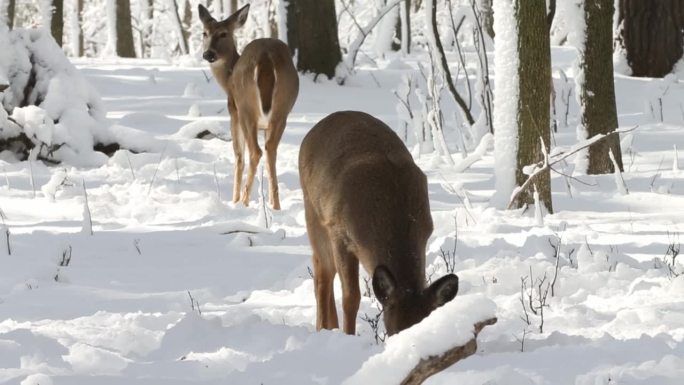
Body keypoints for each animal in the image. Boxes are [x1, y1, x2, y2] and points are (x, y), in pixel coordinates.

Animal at [195, 3, 296, 210]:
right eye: (204, 33)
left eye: (223, 34)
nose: (208, 54)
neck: (227, 79)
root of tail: (266, 57)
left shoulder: (232, 111)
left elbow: (238, 156)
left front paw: (234, 200)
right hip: (282, 110)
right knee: (271, 150)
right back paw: (276, 207)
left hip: (245, 108)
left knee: (255, 152)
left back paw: (243, 201)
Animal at [300, 109, 460, 334]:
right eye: (394, 332)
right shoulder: (340, 232)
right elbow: (351, 298)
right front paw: (348, 335)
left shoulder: (426, 230)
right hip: (313, 212)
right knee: (323, 274)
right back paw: (323, 329)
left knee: (321, 268)